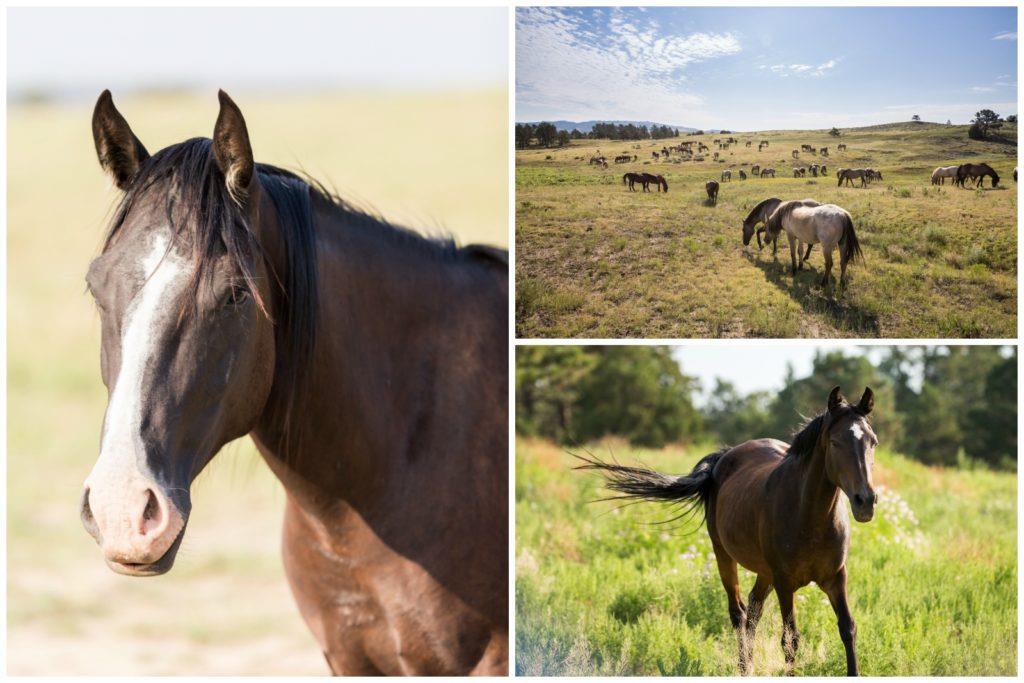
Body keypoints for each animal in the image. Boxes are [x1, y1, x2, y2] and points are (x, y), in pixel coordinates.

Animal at [576, 386, 878, 676]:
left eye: (872, 442)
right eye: (835, 442)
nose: (866, 501)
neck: (810, 518)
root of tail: (724, 457)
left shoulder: (836, 577)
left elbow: (848, 629)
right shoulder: (785, 582)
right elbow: (790, 640)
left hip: (764, 571)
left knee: (754, 610)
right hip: (724, 554)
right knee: (739, 613)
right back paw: (743, 668)